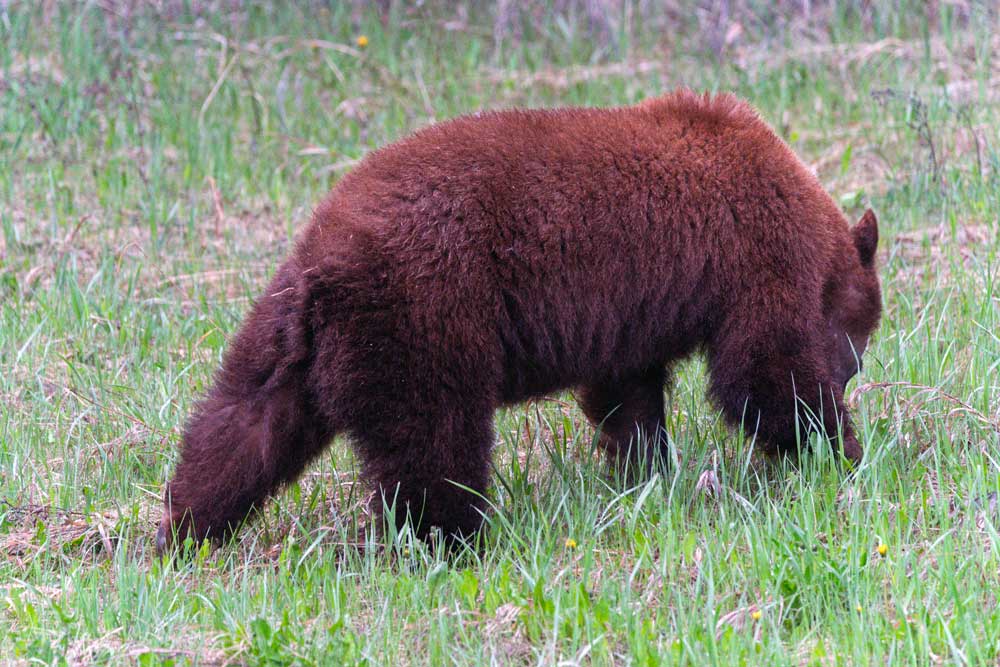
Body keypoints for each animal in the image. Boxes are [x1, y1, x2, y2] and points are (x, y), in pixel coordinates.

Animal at [156, 89, 882, 553]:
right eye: (859, 342)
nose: (851, 372)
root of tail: (322, 264)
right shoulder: (750, 256)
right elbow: (763, 370)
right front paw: (839, 451)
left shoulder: (630, 315)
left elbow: (627, 391)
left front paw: (644, 469)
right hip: (425, 317)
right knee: (435, 444)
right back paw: (452, 540)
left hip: (287, 342)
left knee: (239, 430)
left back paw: (178, 531)